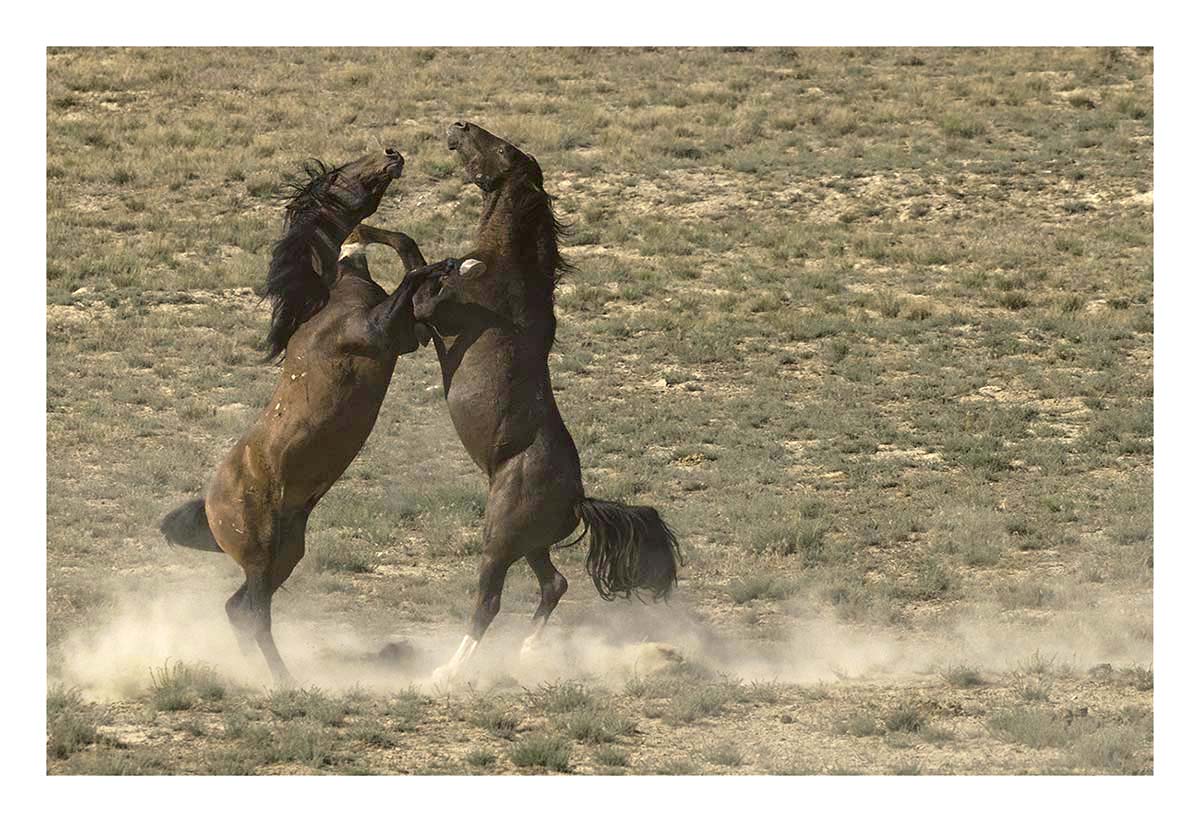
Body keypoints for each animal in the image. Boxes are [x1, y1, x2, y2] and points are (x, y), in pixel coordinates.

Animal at [159, 148, 473, 685]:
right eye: (341, 172)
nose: (392, 154)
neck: (332, 300)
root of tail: (211, 503)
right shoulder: (385, 333)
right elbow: (412, 273)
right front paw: (449, 262)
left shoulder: (404, 335)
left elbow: (406, 249)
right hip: (262, 554)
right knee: (254, 614)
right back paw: (283, 680)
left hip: (286, 552)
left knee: (237, 608)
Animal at [412, 122, 681, 685]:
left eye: (502, 148)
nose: (459, 127)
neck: (506, 265)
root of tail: (577, 498)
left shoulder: (436, 315)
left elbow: (417, 268)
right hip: (529, 543)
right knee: (554, 584)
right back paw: (528, 649)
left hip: (498, 540)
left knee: (489, 603)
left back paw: (448, 671)